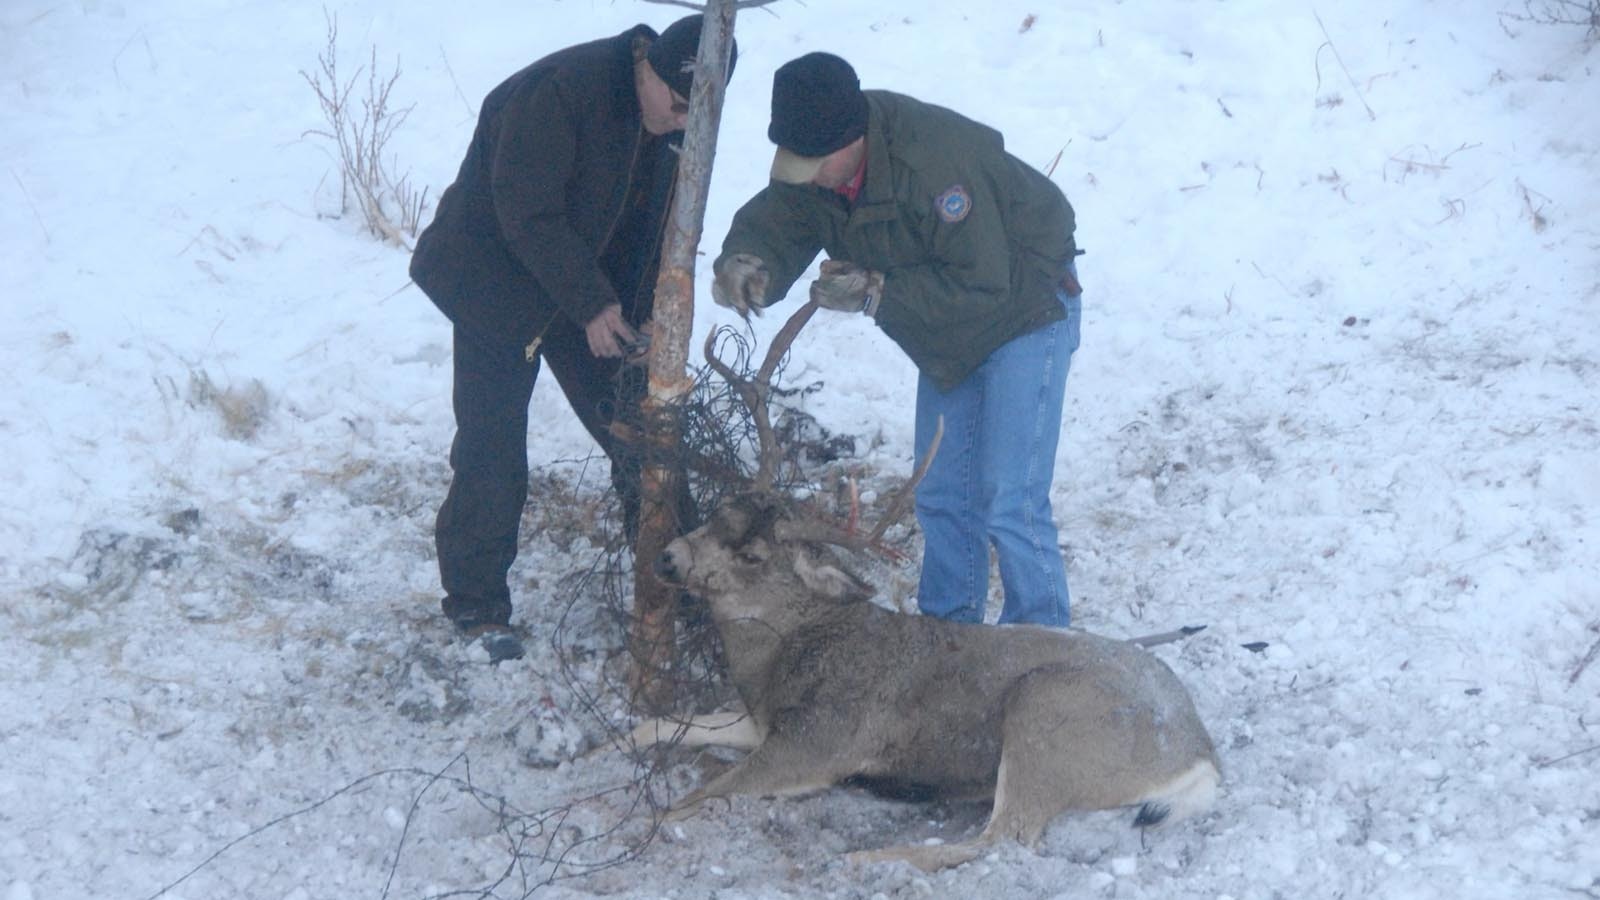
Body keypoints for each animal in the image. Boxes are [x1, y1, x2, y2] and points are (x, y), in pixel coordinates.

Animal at [627, 299, 1222, 871]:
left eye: (752, 555)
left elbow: (691, 798)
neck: (776, 665)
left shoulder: (820, 741)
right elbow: (652, 727)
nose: (668, 558)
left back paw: (863, 860)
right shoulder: (761, 722)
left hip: (1047, 714)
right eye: (718, 512)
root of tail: (1201, 756)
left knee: (1004, 838)